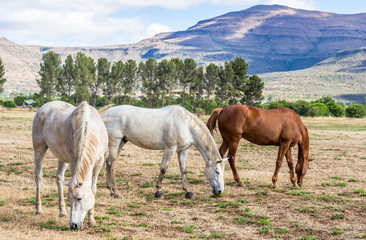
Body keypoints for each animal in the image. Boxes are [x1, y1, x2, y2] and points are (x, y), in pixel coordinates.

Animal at [31, 100, 107, 230]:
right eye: (69, 199)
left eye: (79, 198)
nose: (74, 225)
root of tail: (45, 106)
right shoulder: (73, 160)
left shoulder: (99, 162)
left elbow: (93, 189)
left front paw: (91, 220)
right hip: (39, 149)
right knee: (39, 176)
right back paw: (39, 209)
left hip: (62, 158)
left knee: (59, 177)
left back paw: (62, 212)